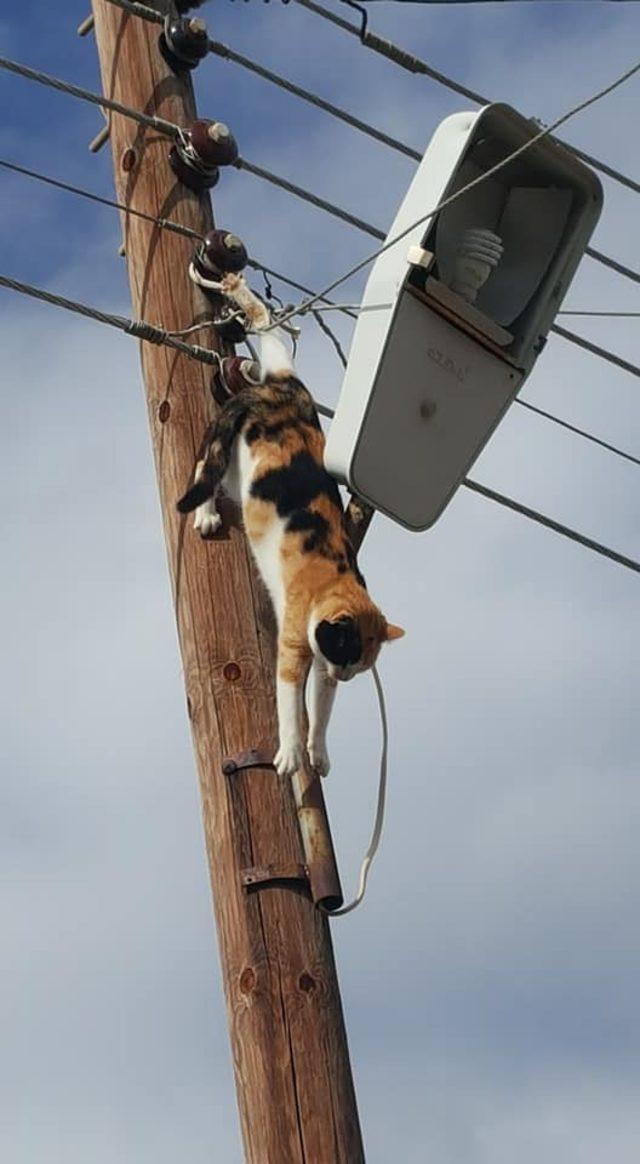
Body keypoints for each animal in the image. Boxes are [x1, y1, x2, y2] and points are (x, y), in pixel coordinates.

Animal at [178, 272, 404, 777]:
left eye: (359, 665)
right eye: (349, 653)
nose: (345, 674)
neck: (337, 578)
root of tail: (275, 393)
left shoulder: (319, 663)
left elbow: (320, 710)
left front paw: (317, 751)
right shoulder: (296, 646)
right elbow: (288, 706)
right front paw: (290, 753)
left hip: (277, 377)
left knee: (268, 327)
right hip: (230, 460)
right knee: (205, 468)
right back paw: (206, 514)